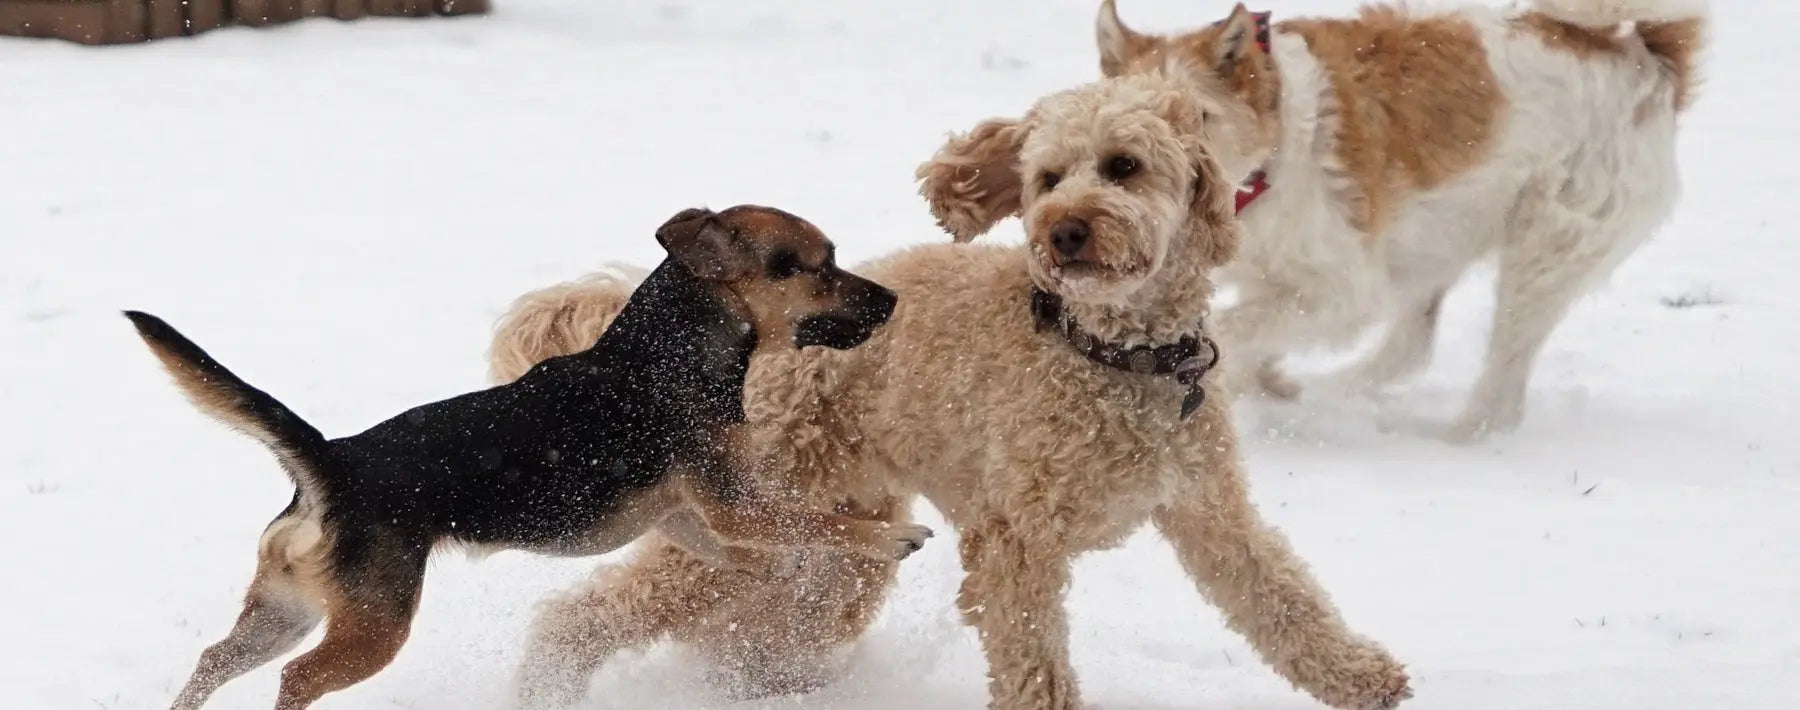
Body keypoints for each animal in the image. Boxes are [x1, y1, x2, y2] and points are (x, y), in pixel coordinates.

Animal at [126, 205, 928, 710]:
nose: (892, 301)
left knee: (215, 660)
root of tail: (333, 461)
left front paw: (782, 570)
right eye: (820, 267)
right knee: (296, 680)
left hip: (284, 607)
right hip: (373, 626)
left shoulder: (680, 515)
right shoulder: (732, 501)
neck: (667, 349)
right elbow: (816, 520)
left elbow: (763, 545)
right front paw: (891, 535)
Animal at [496, 70, 1418, 710]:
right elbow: (1034, 665)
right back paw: (547, 679)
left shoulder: (1206, 508)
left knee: (760, 640)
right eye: (1047, 178)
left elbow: (1280, 598)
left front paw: (1362, 676)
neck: (1109, 354)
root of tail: (752, 346)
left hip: (838, 554)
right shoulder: (1017, 545)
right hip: (757, 517)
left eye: (1123, 167)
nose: (1065, 230)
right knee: (591, 613)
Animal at [1094, 0, 1699, 441]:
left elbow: (1238, 326)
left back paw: (1454, 439)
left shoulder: (1344, 289)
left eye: (1199, 115)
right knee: (1410, 348)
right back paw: (1334, 392)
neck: (1277, 146)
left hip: (1543, 248)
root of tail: (1642, 56)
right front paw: (1266, 384)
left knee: (1500, 386)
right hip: (1436, 242)